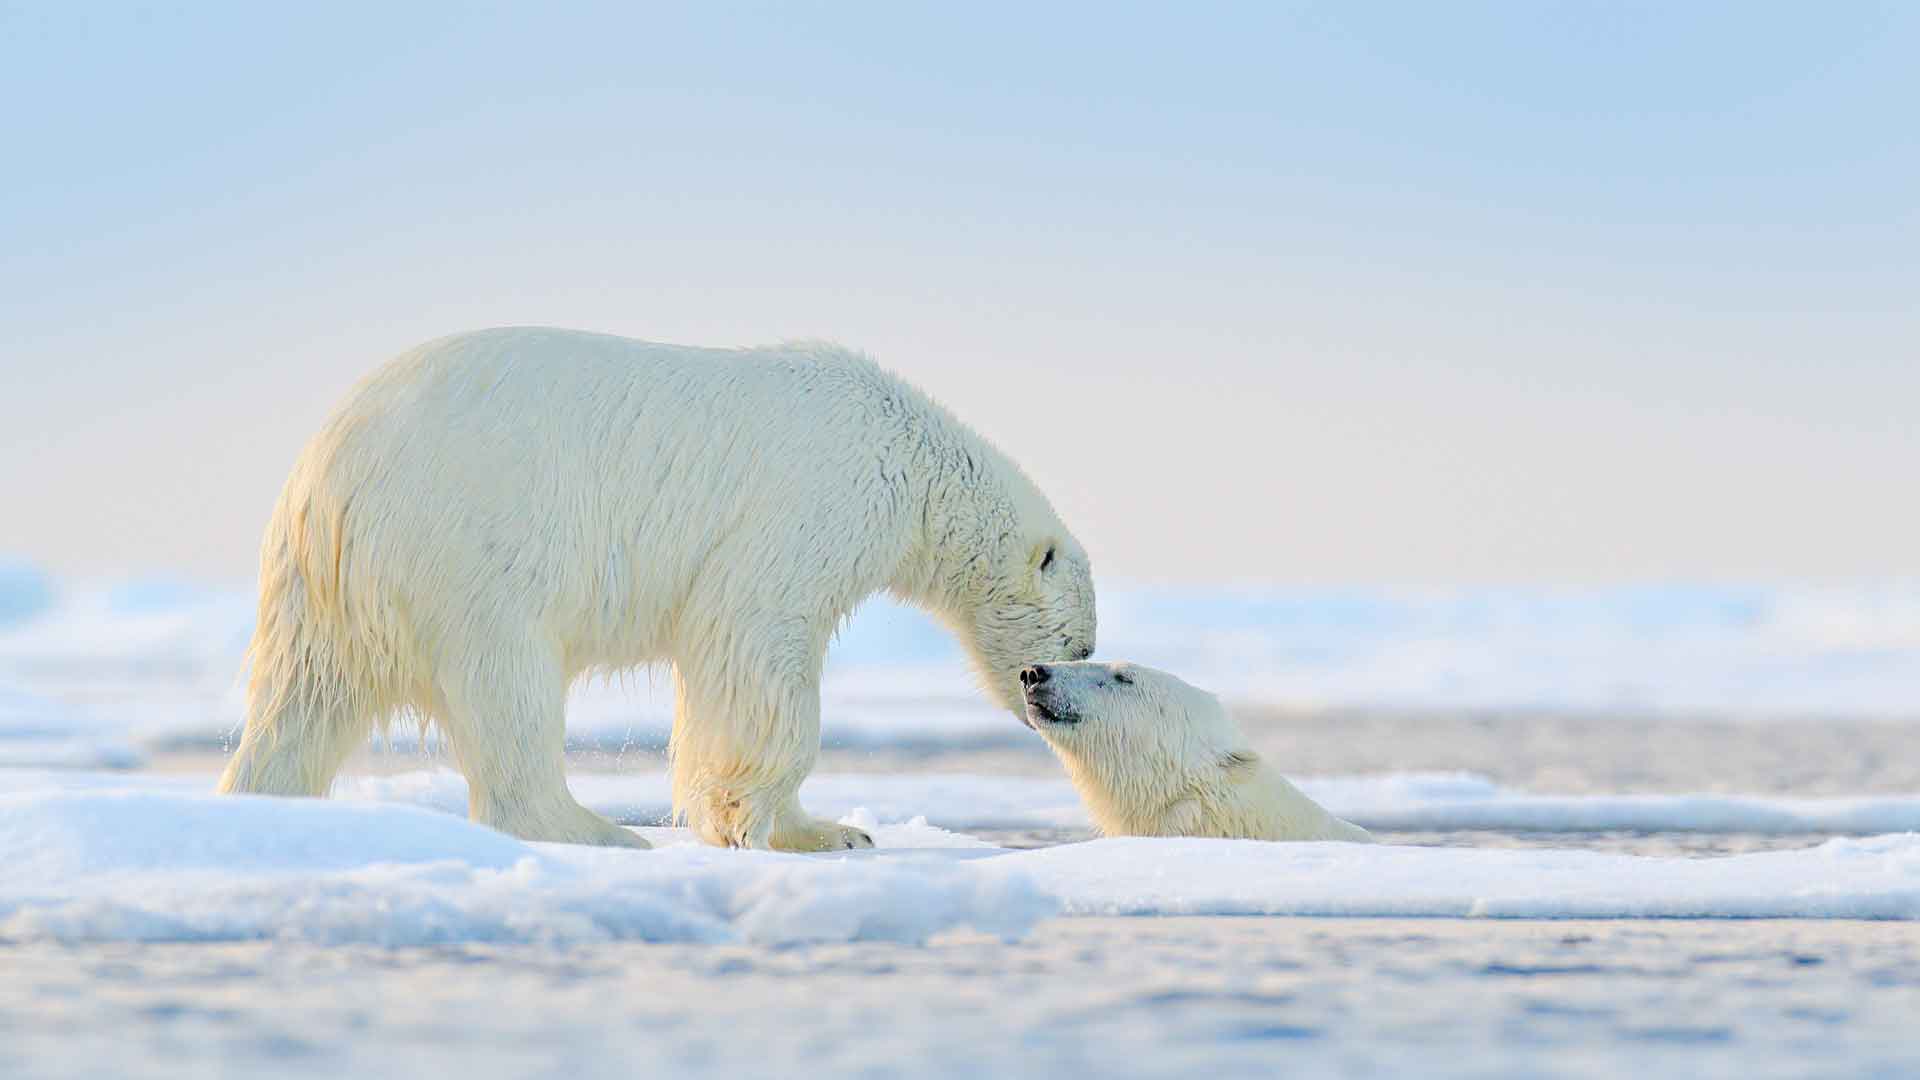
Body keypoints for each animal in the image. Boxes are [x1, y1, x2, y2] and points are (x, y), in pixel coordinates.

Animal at [217, 322, 1098, 845]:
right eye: (1080, 645)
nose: (1038, 696)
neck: (911, 460)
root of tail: (324, 473)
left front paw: (836, 831)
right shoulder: (812, 505)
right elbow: (755, 642)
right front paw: (786, 825)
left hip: (325, 587)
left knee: (303, 700)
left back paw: (261, 802)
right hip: (465, 544)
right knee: (508, 686)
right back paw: (594, 827)